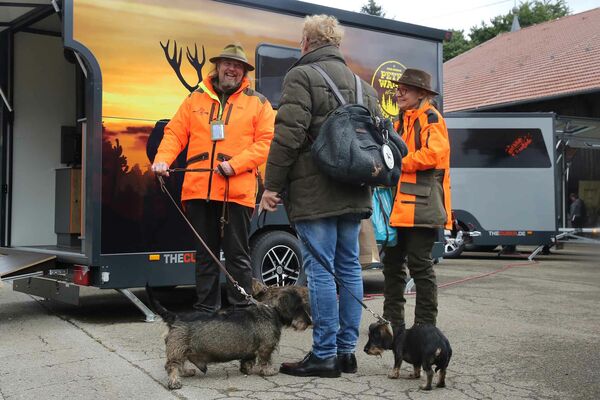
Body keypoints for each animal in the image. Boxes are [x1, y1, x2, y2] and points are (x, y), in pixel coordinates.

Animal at [147, 285, 311, 390]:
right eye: (299, 307)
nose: (309, 323)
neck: (270, 310)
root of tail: (175, 317)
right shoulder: (266, 347)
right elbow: (265, 360)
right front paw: (268, 371)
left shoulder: (250, 351)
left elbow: (247, 360)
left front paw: (246, 369)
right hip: (177, 350)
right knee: (172, 366)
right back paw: (175, 382)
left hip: (181, 350)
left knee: (180, 365)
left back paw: (186, 372)